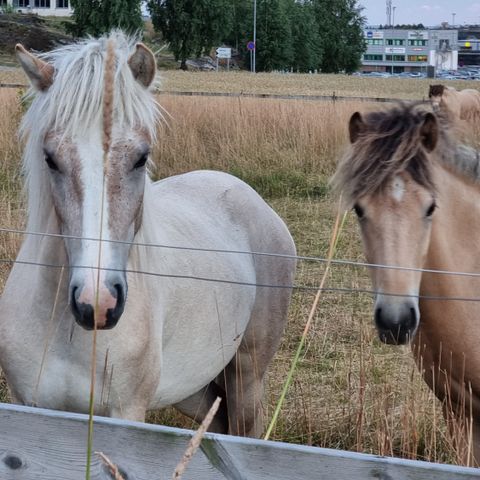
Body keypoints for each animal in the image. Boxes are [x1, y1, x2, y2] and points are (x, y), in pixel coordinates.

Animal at [2, 29, 296, 436]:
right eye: (50, 159)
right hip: (194, 389)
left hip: (246, 377)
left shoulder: (126, 414)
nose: (97, 303)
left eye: (141, 158)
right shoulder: (27, 408)